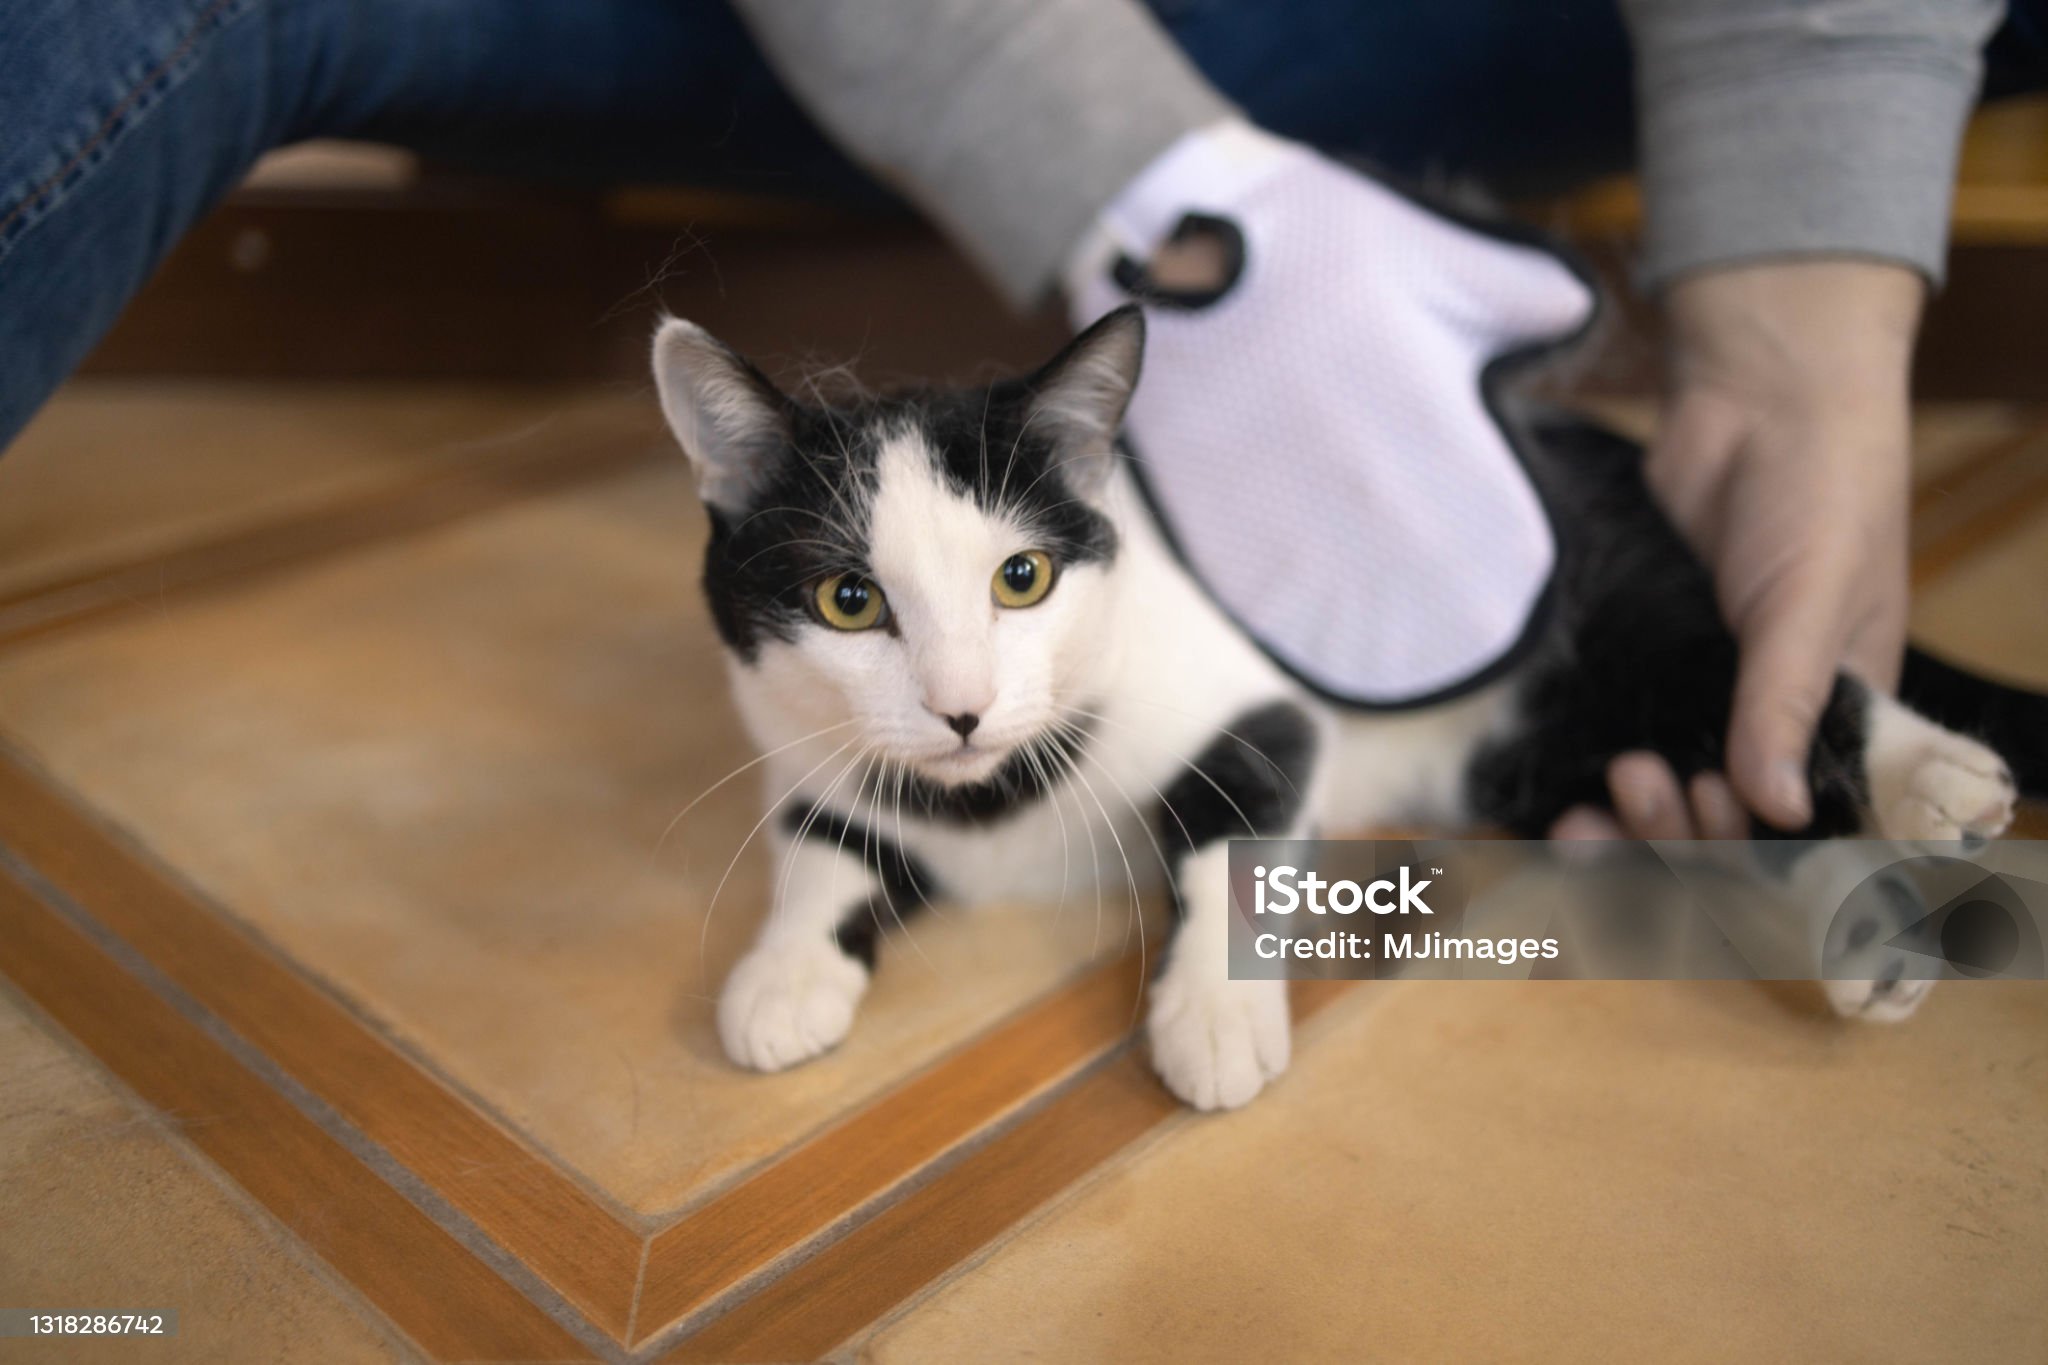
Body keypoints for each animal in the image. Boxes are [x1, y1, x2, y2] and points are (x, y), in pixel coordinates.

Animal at [651, 305, 2045, 1110]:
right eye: (846, 600)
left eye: (1022, 577)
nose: (959, 712)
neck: (995, 800)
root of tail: (1583, 438)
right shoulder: (809, 745)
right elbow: (822, 848)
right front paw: (782, 972)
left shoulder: (1263, 707)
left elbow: (1229, 840)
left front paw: (1213, 1017)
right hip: (1562, 761)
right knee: (1718, 795)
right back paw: (1848, 930)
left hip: (1610, 630)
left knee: (1759, 697)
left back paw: (1931, 782)